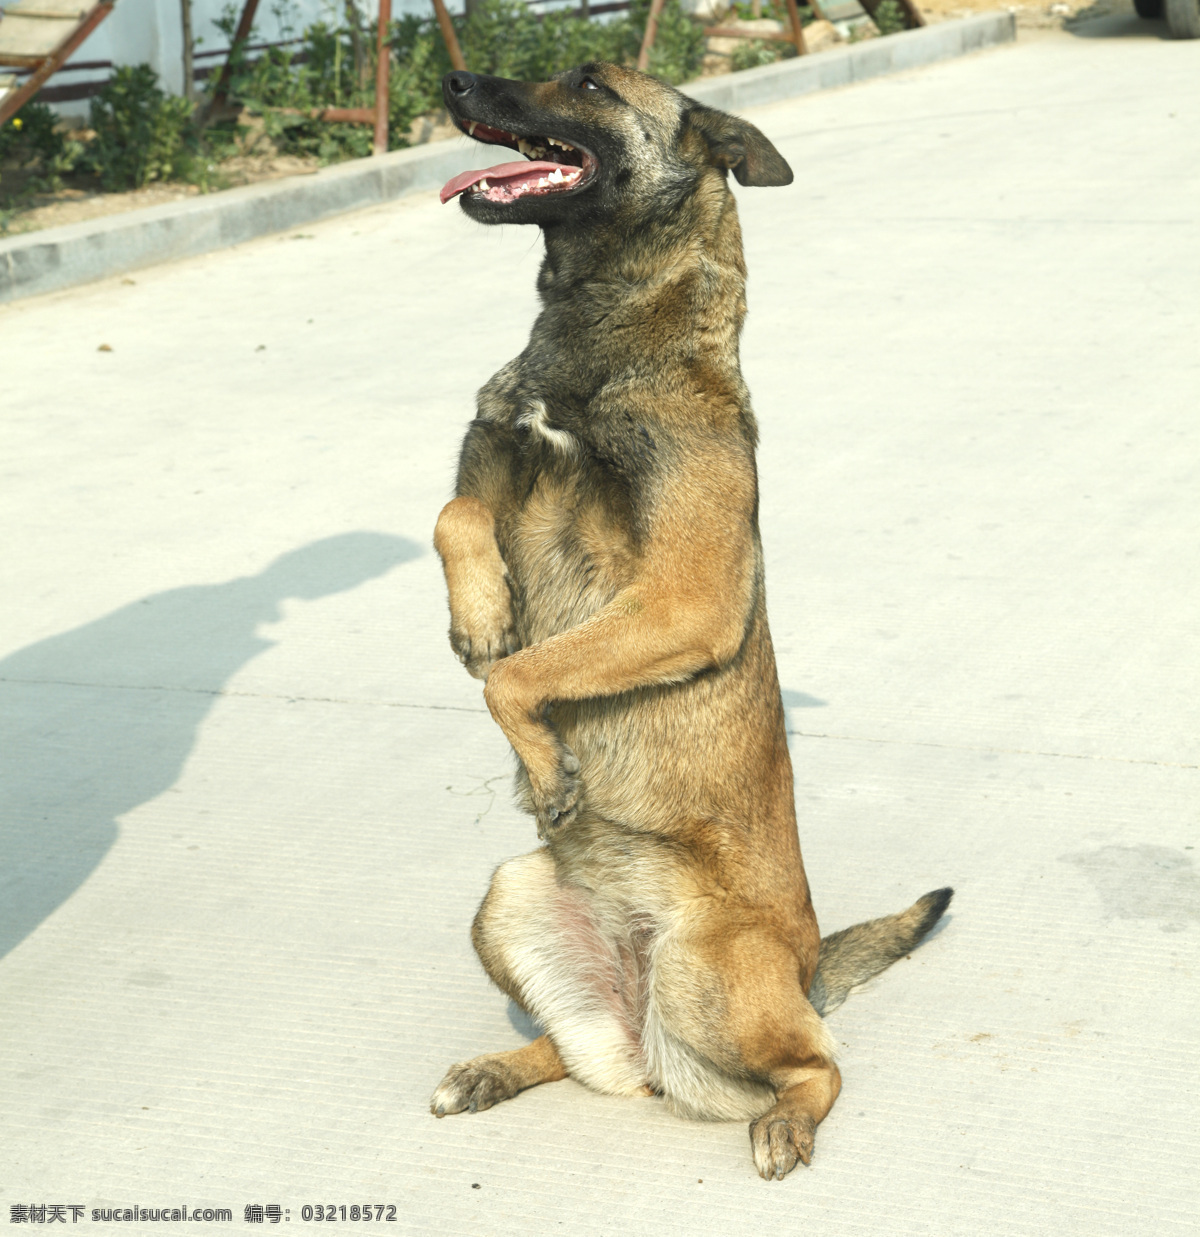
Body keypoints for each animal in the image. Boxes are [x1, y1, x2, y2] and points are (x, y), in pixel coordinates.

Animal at [430, 62, 955, 1182]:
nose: (455, 78)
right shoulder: (488, 481)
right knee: (581, 1055)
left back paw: (786, 1124)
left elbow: (522, 676)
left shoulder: (684, 594)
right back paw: (494, 1067)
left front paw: (542, 757)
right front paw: (481, 615)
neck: (609, 329)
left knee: (820, 1066)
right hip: (507, 898)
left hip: (707, 974)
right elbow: (455, 518)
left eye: (588, 81)